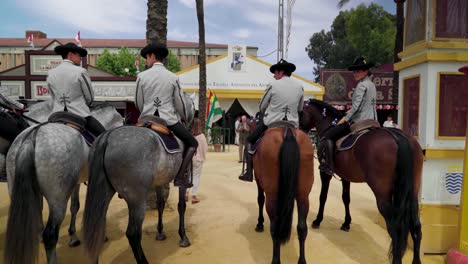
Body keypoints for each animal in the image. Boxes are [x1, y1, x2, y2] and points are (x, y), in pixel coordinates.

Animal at [4, 101, 124, 264]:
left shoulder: (76, 184)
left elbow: (75, 207)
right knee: (50, 235)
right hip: (58, 200)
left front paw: (73, 236)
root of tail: (32, 137)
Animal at [83, 94, 195, 262]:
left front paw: (160, 232)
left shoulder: (160, 182)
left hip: (103, 193)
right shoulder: (182, 183)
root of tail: (107, 137)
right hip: (137, 200)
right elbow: (181, 206)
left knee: (96, 230)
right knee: (133, 234)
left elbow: (160, 204)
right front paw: (183, 237)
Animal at [252, 124, 314, 264]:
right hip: (303, 196)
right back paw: (302, 260)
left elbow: (260, 199)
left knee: (275, 228)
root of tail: (288, 132)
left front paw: (259, 224)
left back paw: (275, 260)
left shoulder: (258, 180)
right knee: (302, 228)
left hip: (272, 196)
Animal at [300, 99, 424, 264]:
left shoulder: (324, 173)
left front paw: (317, 220)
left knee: (395, 228)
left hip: (383, 195)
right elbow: (346, 198)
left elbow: (323, 197)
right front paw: (346, 223)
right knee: (416, 226)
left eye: (301, 112)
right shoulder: (345, 177)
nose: (299, 130)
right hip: (412, 194)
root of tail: (398, 137)